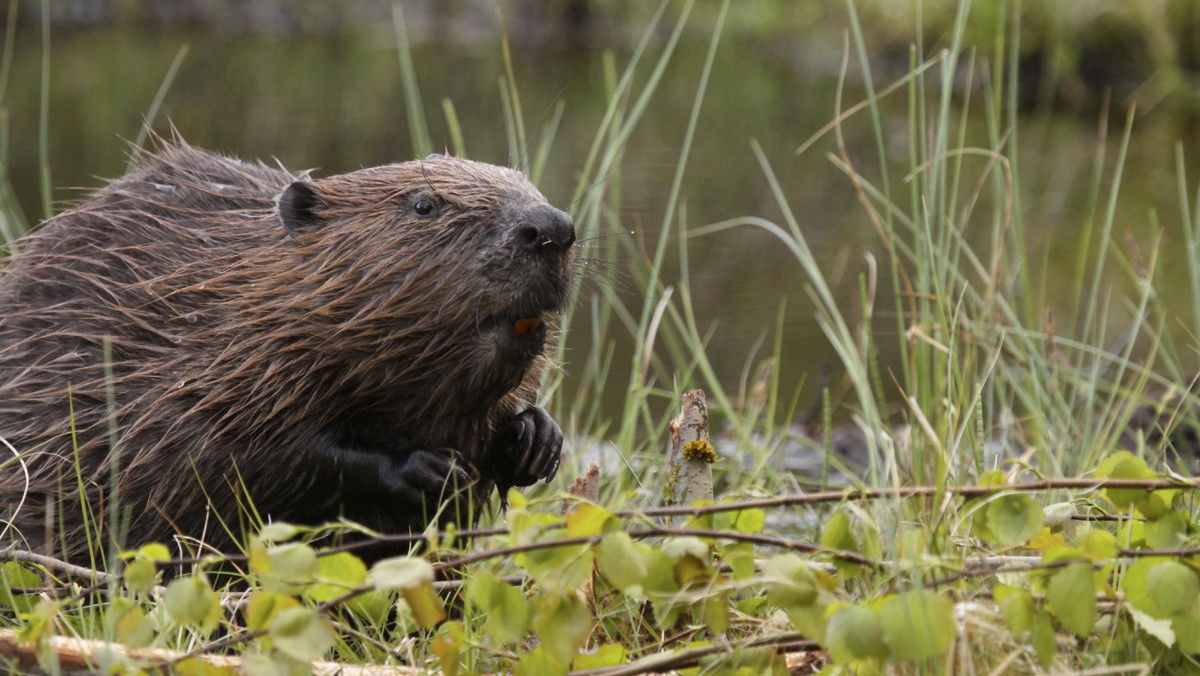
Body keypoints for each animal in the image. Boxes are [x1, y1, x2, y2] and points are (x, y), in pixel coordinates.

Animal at [0, 138, 576, 566]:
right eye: (423, 205)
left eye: (528, 185)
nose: (552, 229)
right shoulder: (192, 368)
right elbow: (232, 458)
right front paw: (426, 469)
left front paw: (535, 439)